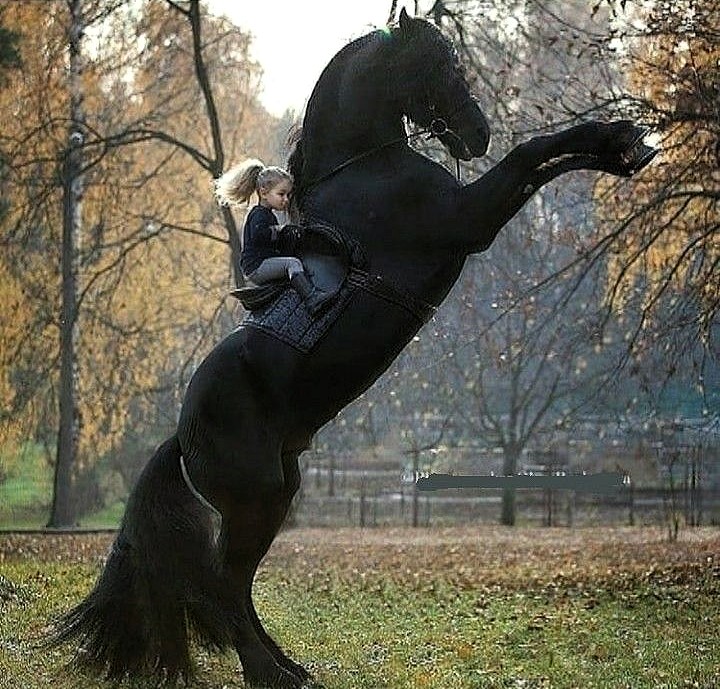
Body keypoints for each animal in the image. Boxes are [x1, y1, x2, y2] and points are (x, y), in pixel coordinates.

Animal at [52, 9, 657, 688]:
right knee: (224, 585)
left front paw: (625, 146)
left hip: (278, 494)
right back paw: (269, 674)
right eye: (439, 64)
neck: (368, 170)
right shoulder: (469, 218)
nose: (477, 134)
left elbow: (542, 162)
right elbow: (535, 154)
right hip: (255, 498)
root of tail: (182, 435)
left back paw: (291, 668)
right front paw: (620, 138)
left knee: (239, 585)